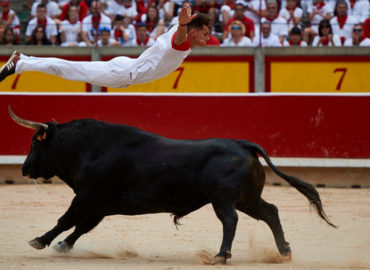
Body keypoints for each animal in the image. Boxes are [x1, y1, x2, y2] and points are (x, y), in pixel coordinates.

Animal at [8, 107, 336, 264]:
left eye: (34, 144)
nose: (24, 168)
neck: (89, 148)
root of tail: (242, 144)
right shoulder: (99, 204)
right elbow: (81, 226)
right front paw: (63, 245)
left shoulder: (87, 196)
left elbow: (66, 219)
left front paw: (40, 240)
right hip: (248, 198)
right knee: (270, 212)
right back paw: (284, 251)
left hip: (224, 199)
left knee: (230, 220)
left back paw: (221, 255)